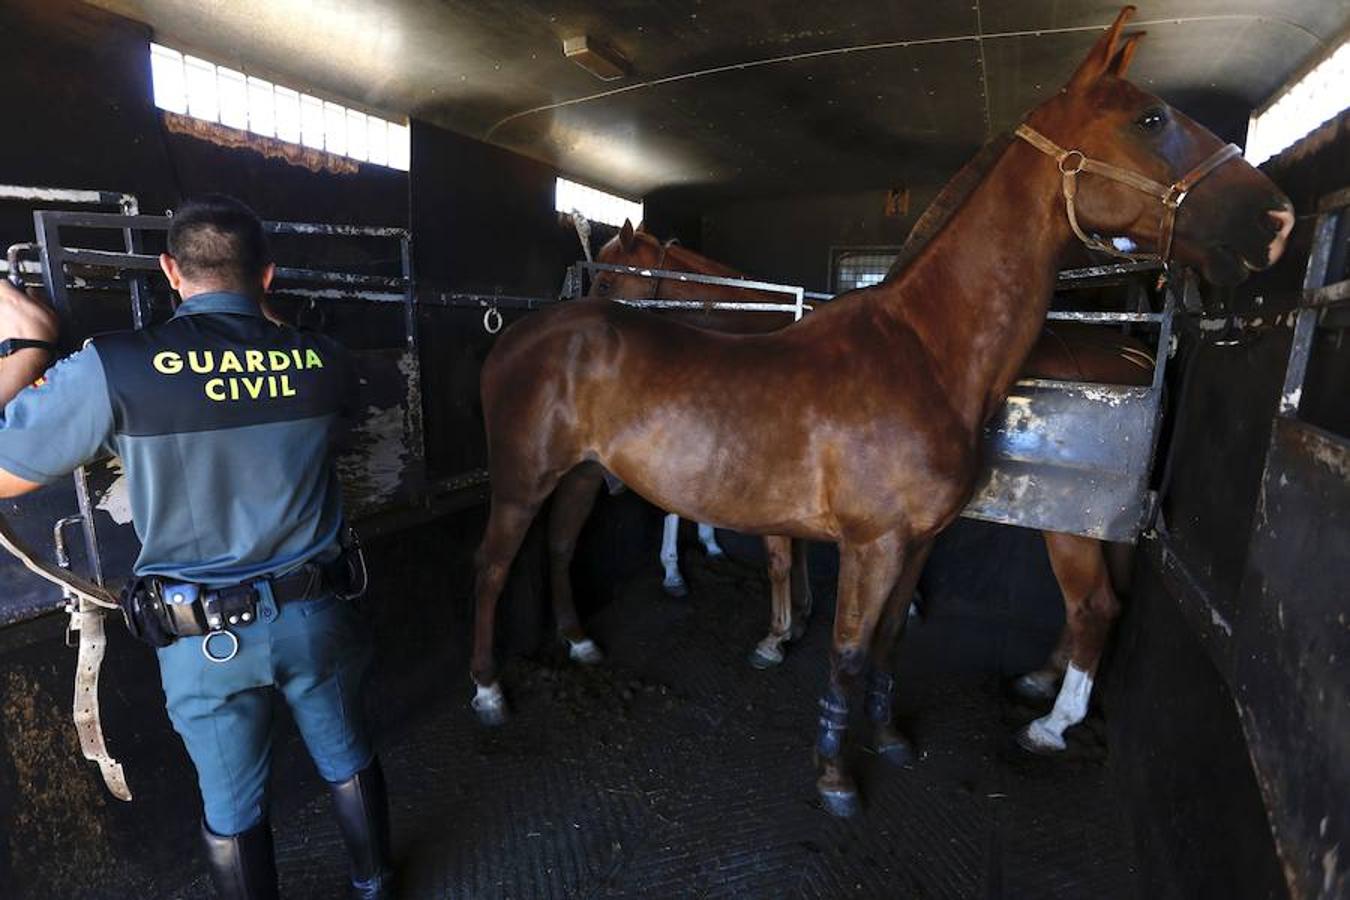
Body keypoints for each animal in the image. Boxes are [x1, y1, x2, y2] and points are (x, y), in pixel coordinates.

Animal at [469, 7, 1290, 820]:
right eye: (1151, 119)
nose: (1277, 219)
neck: (922, 353)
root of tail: (525, 332)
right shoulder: (873, 545)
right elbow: (846, 650)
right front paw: (834, 772)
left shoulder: (920, 541)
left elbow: (890, 640)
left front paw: (889, 735)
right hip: (521, 482)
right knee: (494, 566)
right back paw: (488, 692)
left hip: (579, 474)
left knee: (559, 548)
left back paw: (579, 644)